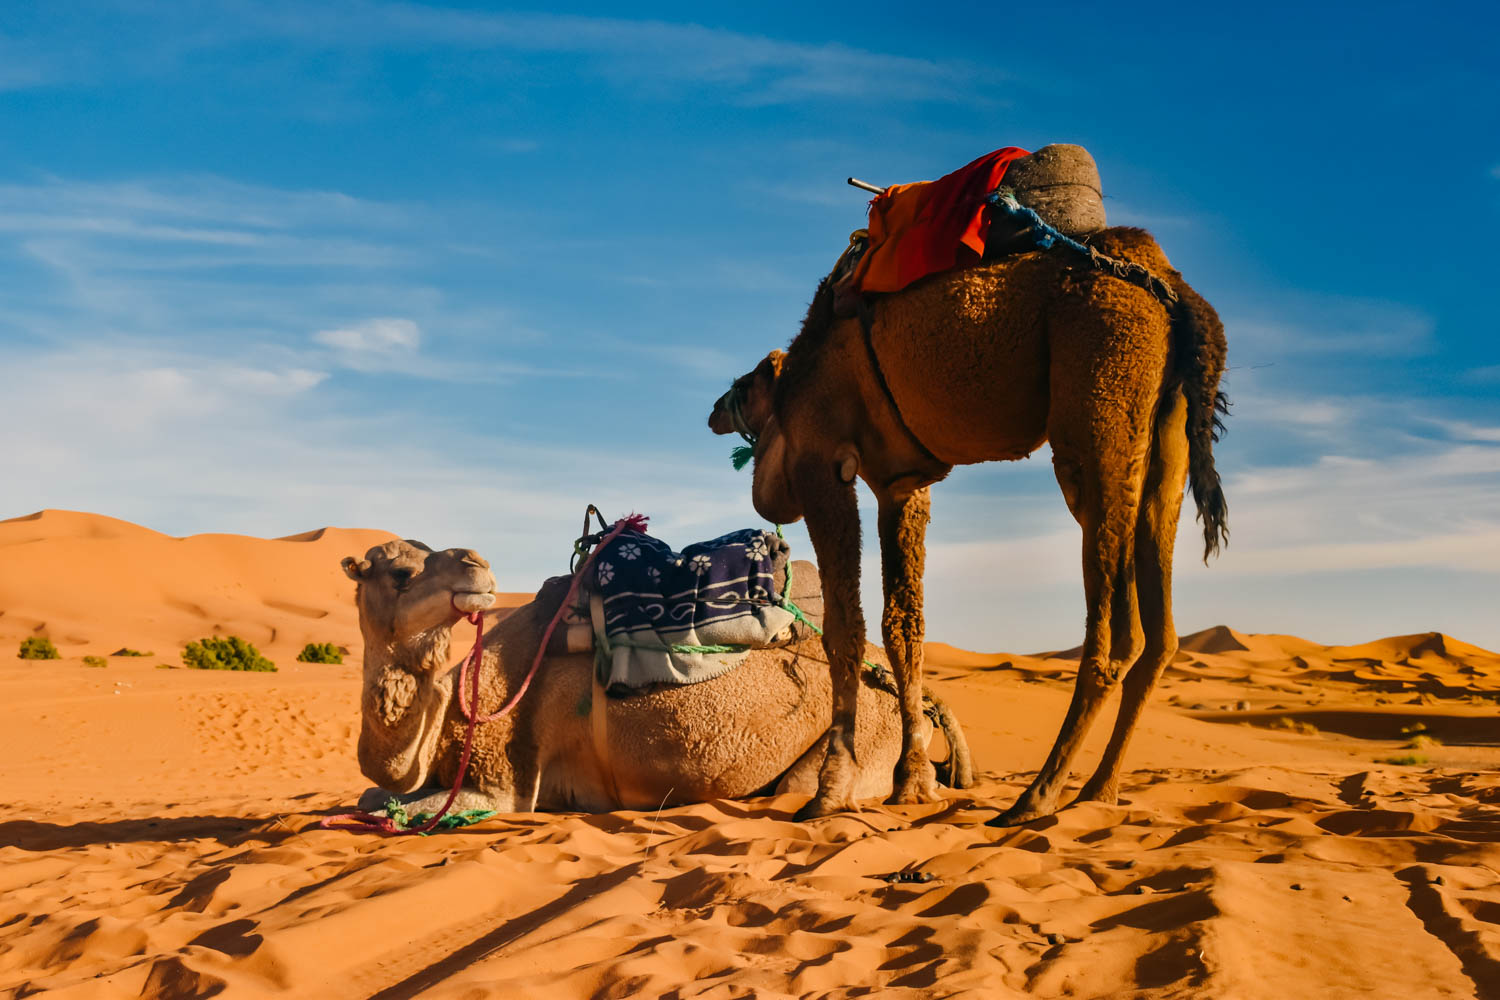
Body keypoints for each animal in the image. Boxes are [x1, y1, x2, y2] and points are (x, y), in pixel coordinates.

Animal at [340, 539, 972, 815]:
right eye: (399, 572)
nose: (477, 564)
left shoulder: (503, 782)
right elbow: (371, 796)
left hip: (867, 734)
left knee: (800, 786)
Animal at [708, 230, 1224, 827]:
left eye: (744, 384)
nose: (714, 410)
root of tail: (1175, 293)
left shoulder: (821, 461)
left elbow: (845, 629)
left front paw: (829, 792)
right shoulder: (901, 485)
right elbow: (903, 625)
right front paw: (912, 782)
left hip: (1102, 398)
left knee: (1119, 632)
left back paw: (1037, 795)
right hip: (1166, 439)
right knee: (1161, 632)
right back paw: (1098, 791)